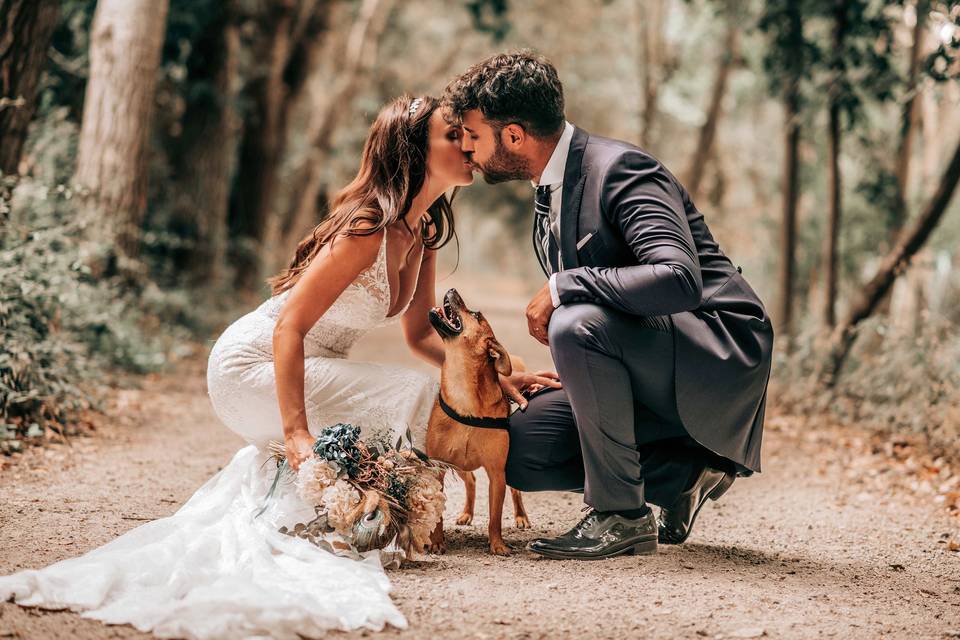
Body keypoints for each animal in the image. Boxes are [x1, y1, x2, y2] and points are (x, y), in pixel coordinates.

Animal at [428, 290, 532, 556]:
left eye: (476, 315)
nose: (452, 289)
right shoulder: (437, 468)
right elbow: (437, 513)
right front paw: (436, 541)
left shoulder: (497, 473)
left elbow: (495, 517)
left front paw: (497, 544)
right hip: (458, 464)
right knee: (471, 481)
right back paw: (466, 514)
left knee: (515, 491)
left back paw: (521, 517)